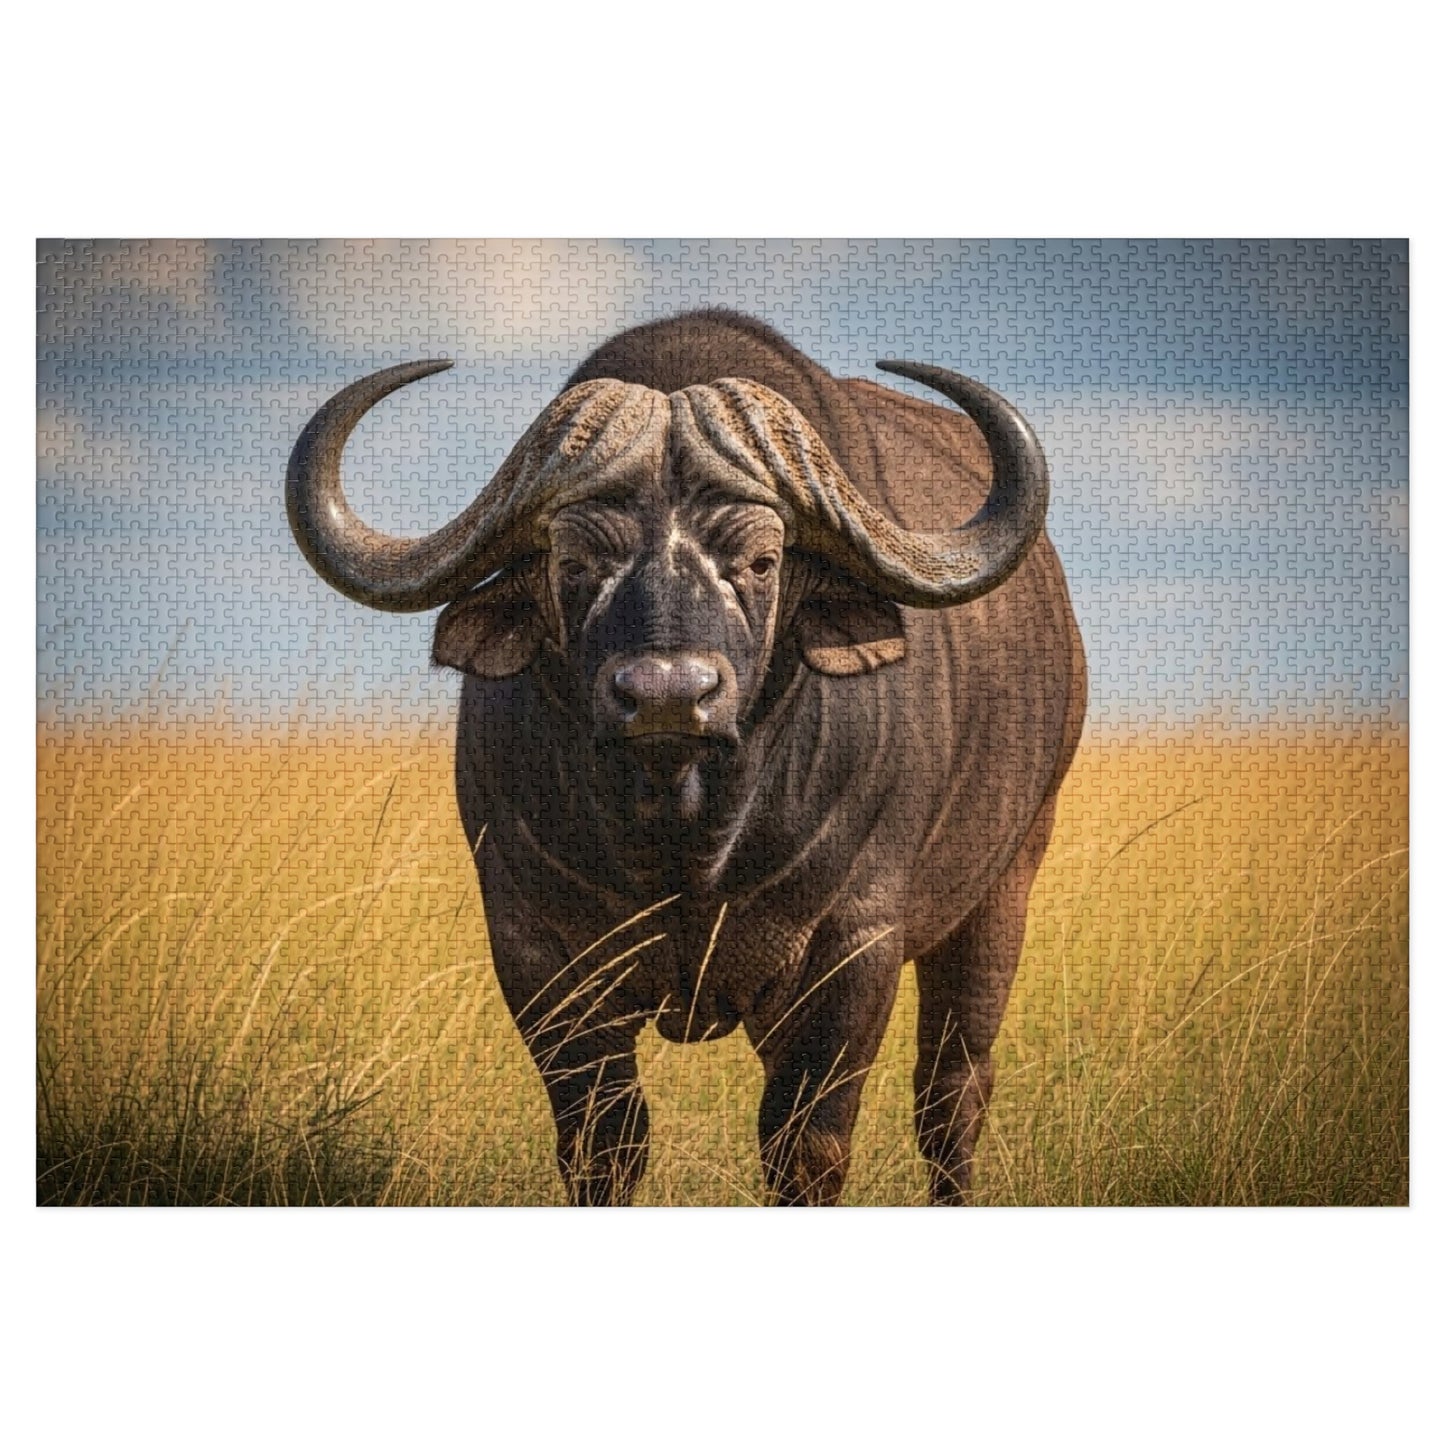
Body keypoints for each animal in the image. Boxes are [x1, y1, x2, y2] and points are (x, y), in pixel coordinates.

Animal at [286, 310, 1086, 1204]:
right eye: (574, 563)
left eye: (762, 560)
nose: (667, 695)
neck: (685, 836)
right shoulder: (535, 951)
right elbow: (602, 1144)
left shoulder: (854, 946)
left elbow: (805, 1147)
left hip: (1006, 885)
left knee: (952, 1093)